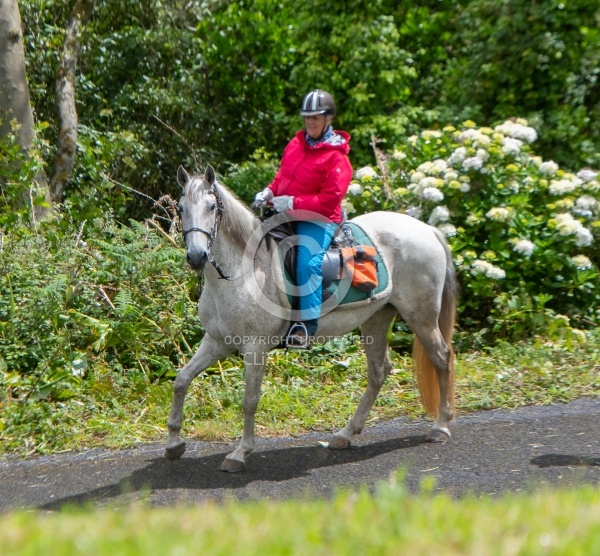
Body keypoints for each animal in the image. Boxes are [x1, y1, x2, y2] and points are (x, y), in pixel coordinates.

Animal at [164, 166, 454, 474]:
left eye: (211, 207)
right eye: (181, 208)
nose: (197, 256)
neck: (246, 272)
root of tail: (427, 229)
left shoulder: (255, 348)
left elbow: (249, 400)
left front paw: (240, 453)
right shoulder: (217, 341)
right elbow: (182, 380)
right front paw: (173, 443)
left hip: (421, 315)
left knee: (441, 358)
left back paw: (441, 426)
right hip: (377, 317)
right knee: (379, 371)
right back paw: (346, 434)